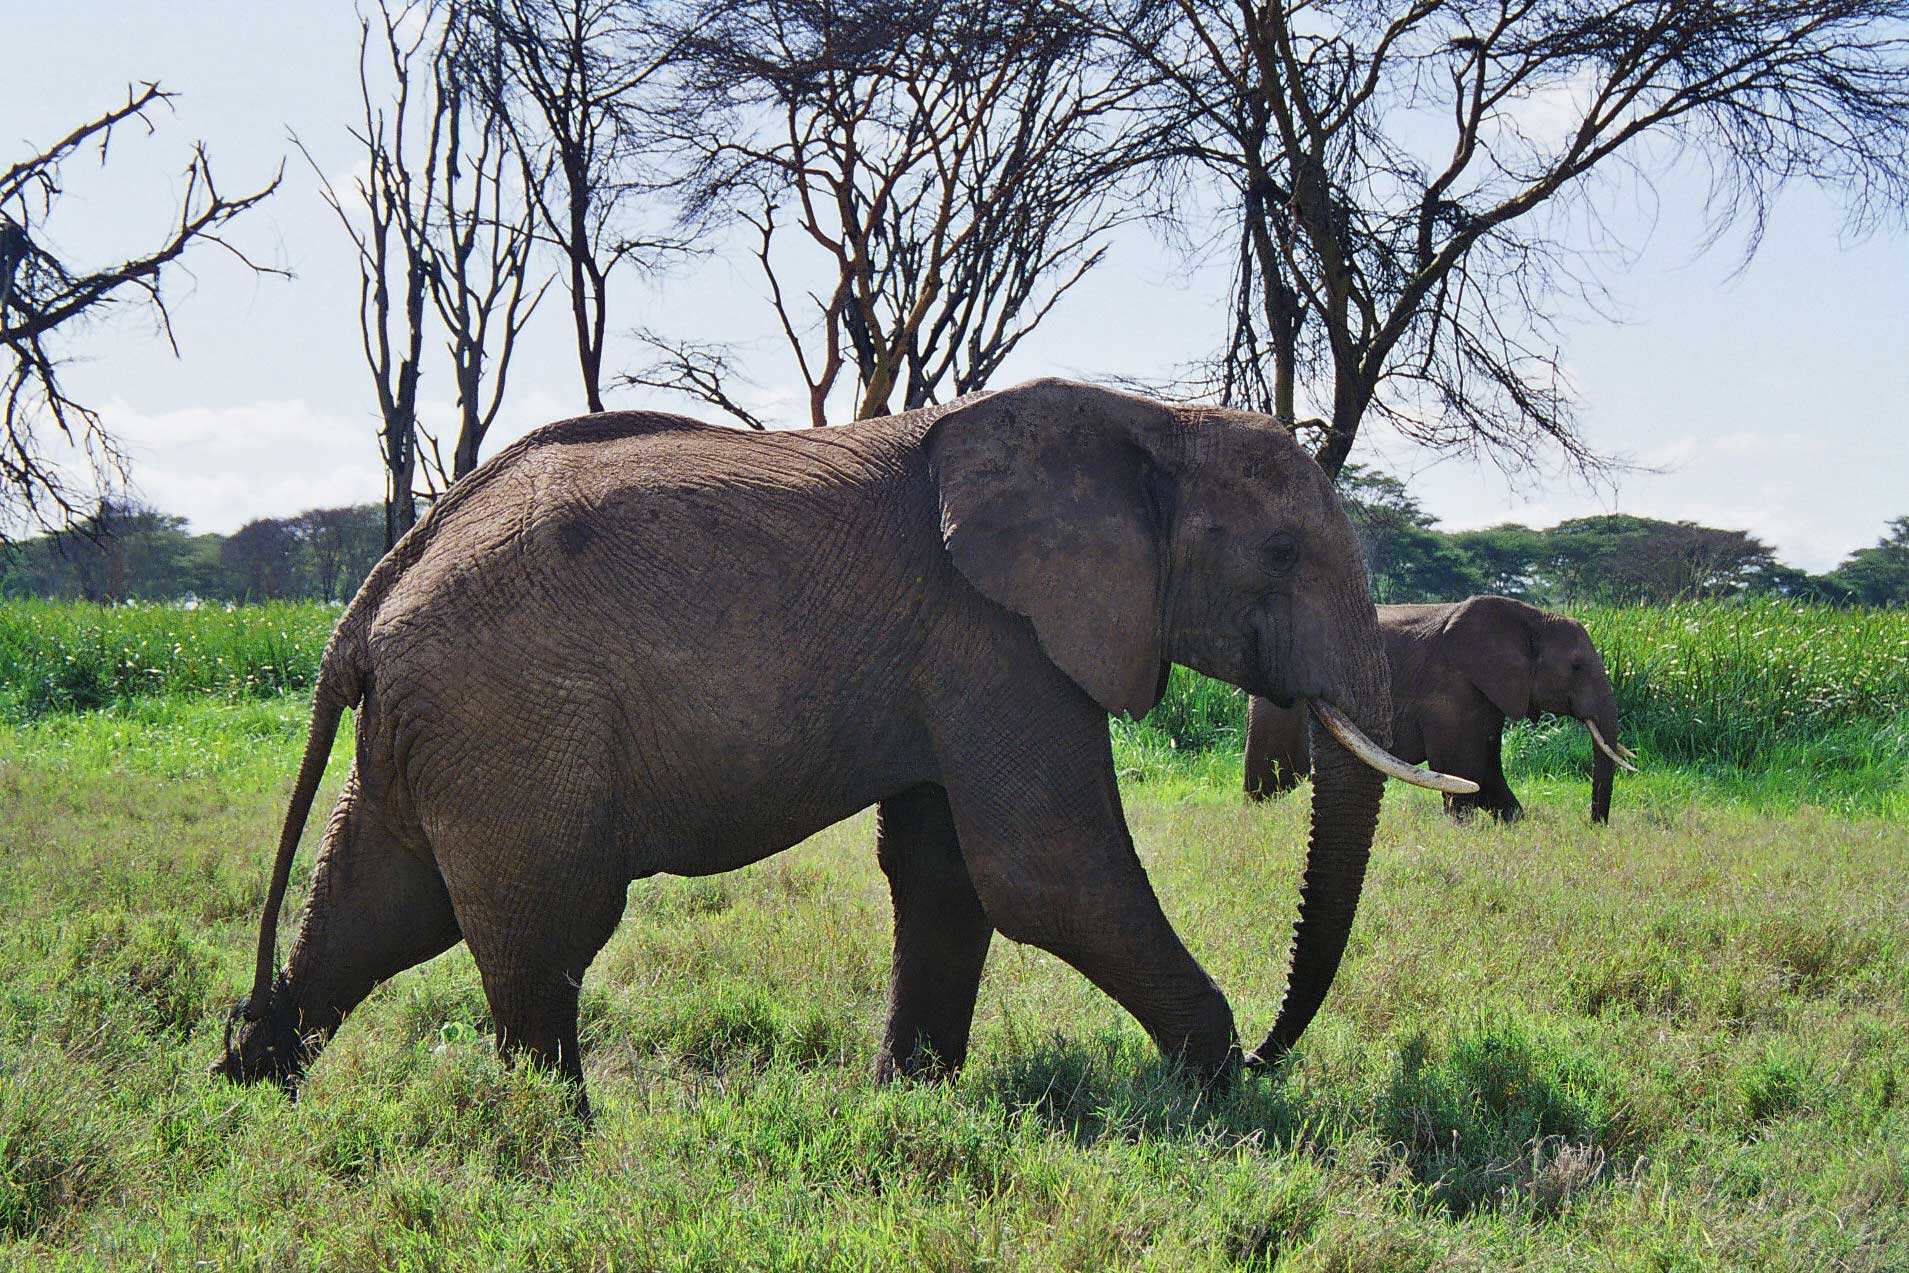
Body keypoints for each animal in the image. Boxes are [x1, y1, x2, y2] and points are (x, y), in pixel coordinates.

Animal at [209, 381, 1466, 1114]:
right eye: (1282, 557)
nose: (1272, 1052)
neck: (1154, 420)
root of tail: (375, 596)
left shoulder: (967, 650)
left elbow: (948, 874)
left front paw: (908, 1103)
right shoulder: (1001, 636)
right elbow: (1048, 874)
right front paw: (1221, 1090)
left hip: (437, 729)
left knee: (377, 909)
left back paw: (243, 1094)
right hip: (513, 719)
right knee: (545, 931)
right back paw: (559, 1146)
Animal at [1244, 599, 1634, 828]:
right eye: (1577, 666)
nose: (1595, 826)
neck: (1532, 618)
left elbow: (1487, 765)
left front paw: (1511, 822)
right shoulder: (1450, 687)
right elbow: (1463, 766)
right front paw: (1463, 826)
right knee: (1272, 771)